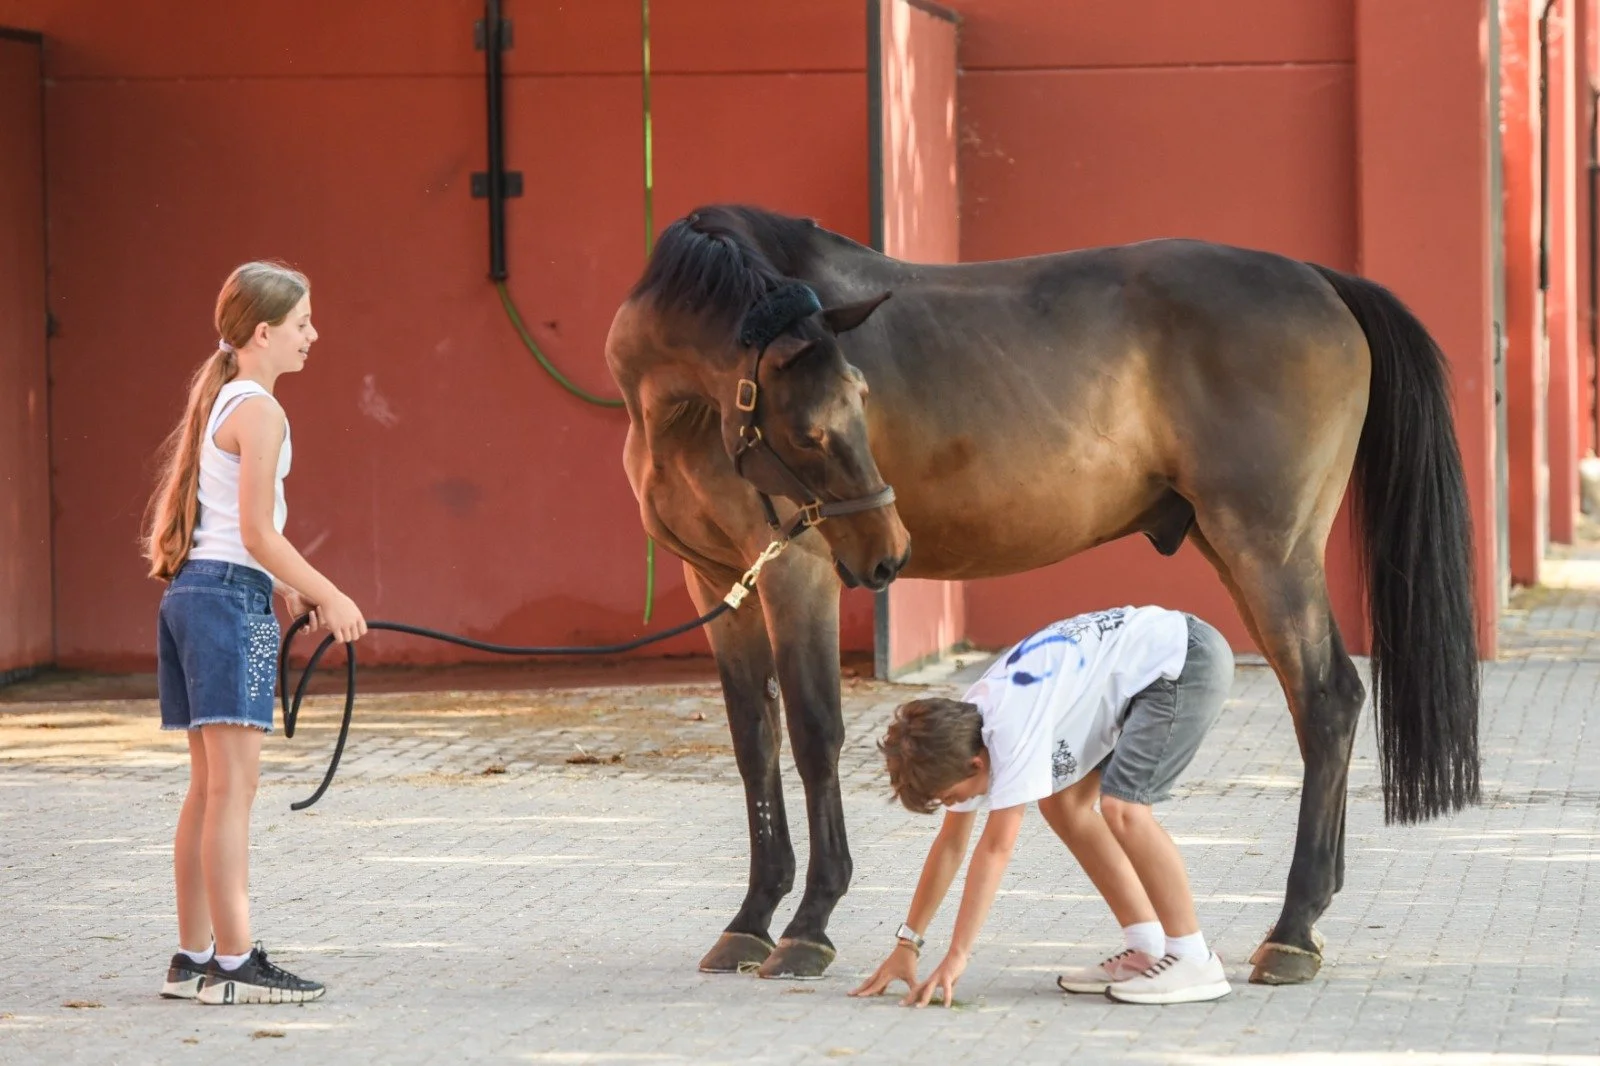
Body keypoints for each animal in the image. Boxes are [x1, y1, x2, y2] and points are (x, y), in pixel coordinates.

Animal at [602, 204, 1480, 985]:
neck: (685, 413)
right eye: (808, 430)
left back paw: (1292, 931)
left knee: (1326, 699)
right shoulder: (722, 585)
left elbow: (815, 737)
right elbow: (755, 745)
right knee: (1321, 702)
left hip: (1270, 548)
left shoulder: (797, 576)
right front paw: (750, 920)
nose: (888, 555)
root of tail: (1320, 280)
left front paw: (809, 925)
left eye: (858, 401)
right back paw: (1309, 918)